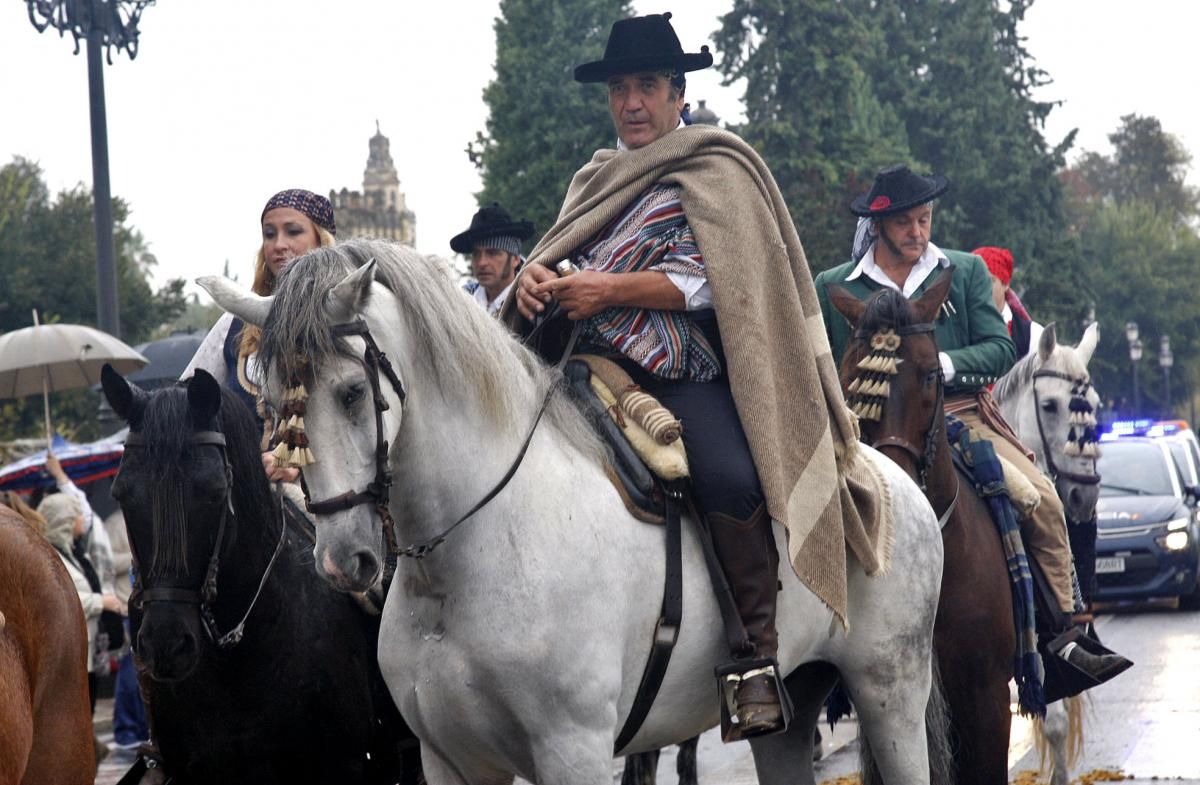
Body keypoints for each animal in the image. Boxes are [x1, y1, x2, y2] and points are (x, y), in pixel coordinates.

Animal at [204, 240, 945, 785]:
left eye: (354, 393)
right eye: (268, 403)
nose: (343, 559)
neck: (469, 556)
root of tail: (888, 476)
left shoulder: (574, 751)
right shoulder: (450, 762)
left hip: (891, 690)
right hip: (793, 705)